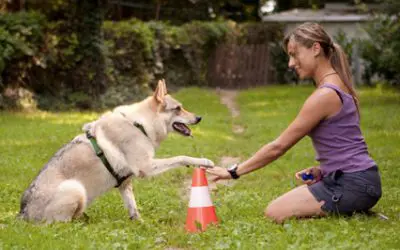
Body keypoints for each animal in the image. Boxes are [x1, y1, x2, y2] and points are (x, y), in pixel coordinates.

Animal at [18, 79, 216, 223]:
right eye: (178, 108)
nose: (199, 118)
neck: (140, 125)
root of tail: (22, 215)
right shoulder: (146, 167)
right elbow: (182, 157)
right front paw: (204, 161)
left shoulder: (125, 182)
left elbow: (133, 207)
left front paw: (140, 224)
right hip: (76, 189)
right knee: (60, 224)